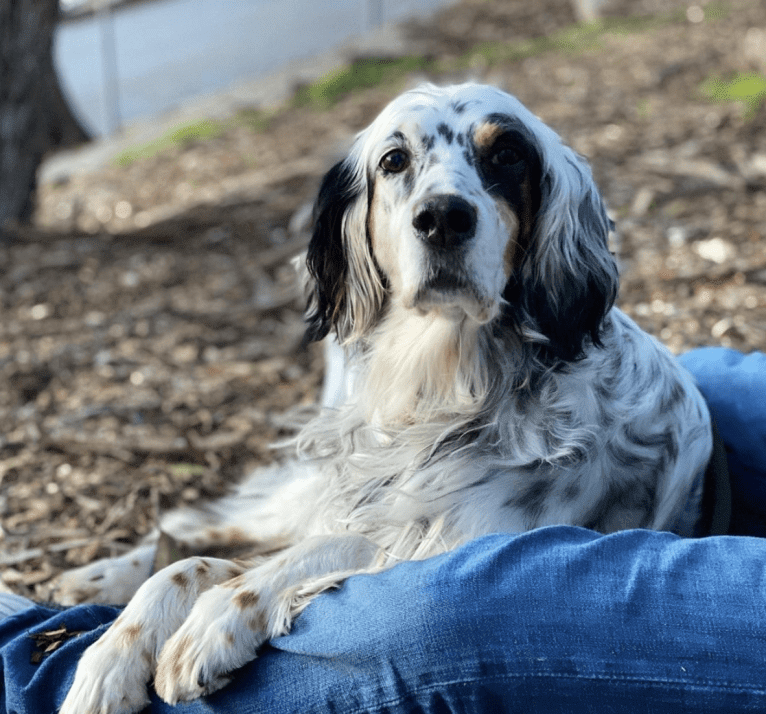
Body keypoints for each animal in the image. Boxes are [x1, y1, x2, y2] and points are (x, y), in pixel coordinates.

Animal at [58, 85, 712, 712]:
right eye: (394, 160)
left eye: (507, 154)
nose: (443, 218)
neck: (443, 382)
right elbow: (186, 567)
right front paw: (111, 658)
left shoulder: (464, 540)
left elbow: (318, 549)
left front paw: (213, 621)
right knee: (203, 523)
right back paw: (98, 576)